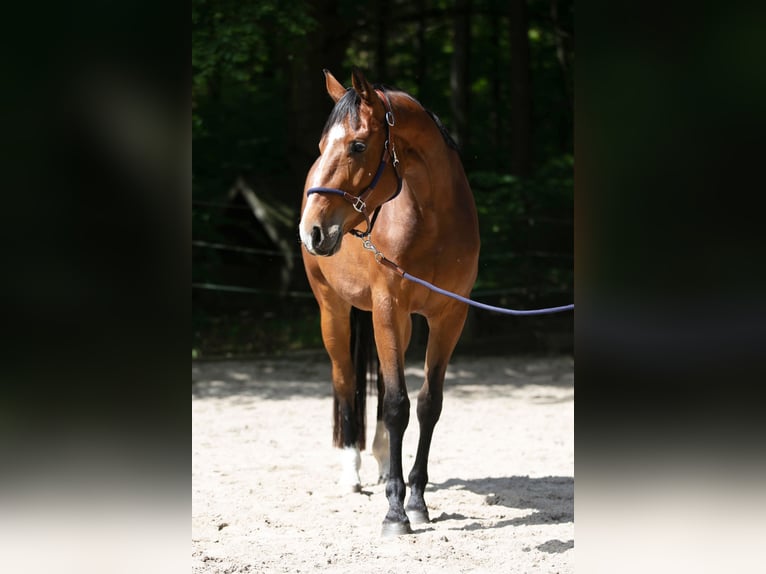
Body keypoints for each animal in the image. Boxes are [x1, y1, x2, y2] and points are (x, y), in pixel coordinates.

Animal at [298, 70, 480, 536]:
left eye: (359, 145)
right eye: (321, 145)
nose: (312, 231)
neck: (431, 219)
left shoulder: (450, 317)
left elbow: (427, 404)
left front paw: (415, 498)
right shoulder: (387, 308)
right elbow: (399, 405)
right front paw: (396, 511)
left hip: (403, 323)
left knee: (380, 383)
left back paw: (382, 463)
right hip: (334, 312)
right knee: (345, 380)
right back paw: (353, 471)